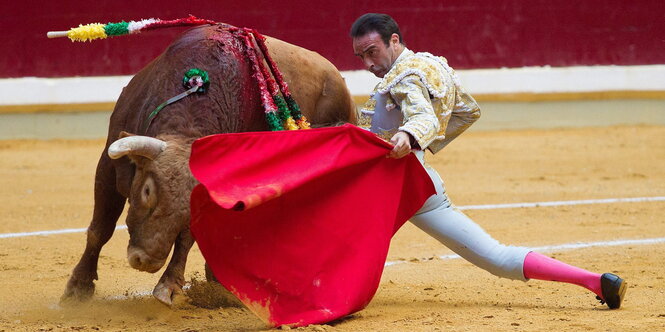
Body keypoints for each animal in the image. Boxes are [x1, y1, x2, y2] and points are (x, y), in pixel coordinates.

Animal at [59, 24, 356, 306]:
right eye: (147, 191)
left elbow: (187, 237)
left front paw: (168, 286)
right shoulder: (108, 167)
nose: (147, 261)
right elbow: (101, 227)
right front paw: (78, 288)